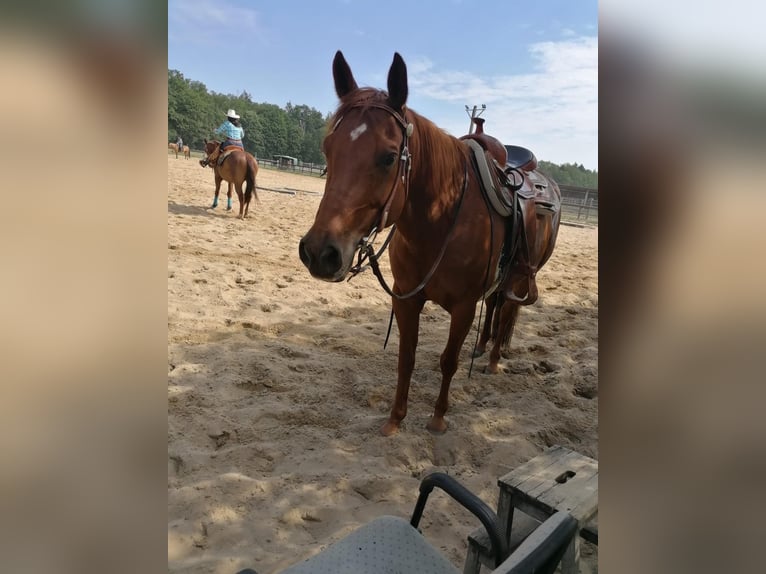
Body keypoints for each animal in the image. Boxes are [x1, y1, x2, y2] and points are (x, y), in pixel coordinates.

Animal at [298, 51, 561, 436]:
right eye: (328, 149)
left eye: (389, 157)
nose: (320, 253)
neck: (439, 224)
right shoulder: (406, 298)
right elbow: (406, 358)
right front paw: (395, 419)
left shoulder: (464, 307)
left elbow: (448, 361)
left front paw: (437, 418)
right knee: (495, 306)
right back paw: (482, 347)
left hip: (521, 279)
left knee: (507, 312)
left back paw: (493, 359)